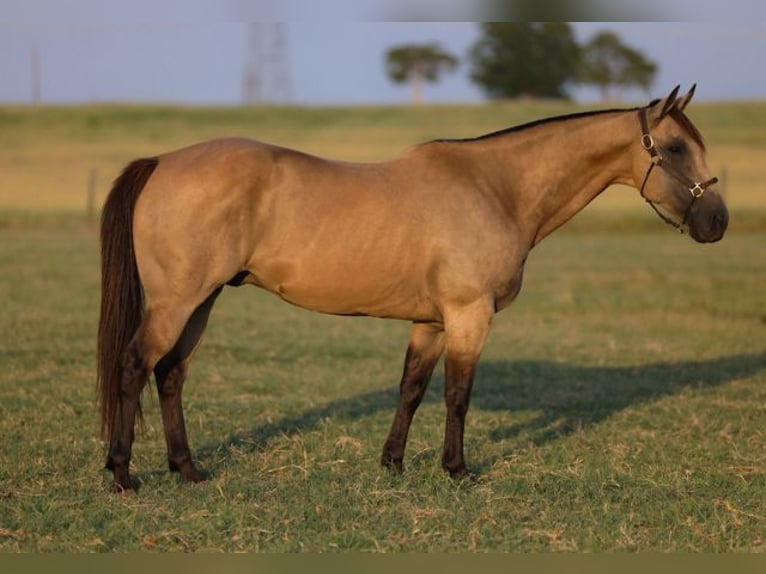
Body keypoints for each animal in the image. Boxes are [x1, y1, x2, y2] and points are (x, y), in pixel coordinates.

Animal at [97, 85, 728, 491]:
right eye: (675, 148)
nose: (717, 222)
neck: (496, 188)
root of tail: (162, 161)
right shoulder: (470, 316)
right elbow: (457, 395)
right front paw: (457, 470)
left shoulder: (430, 322)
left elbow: (412, 390)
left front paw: (393, 464)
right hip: (178, 302)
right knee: (134, 365)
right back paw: (123, 473)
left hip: (202, 301)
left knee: (170, 374)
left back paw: (187, 470)